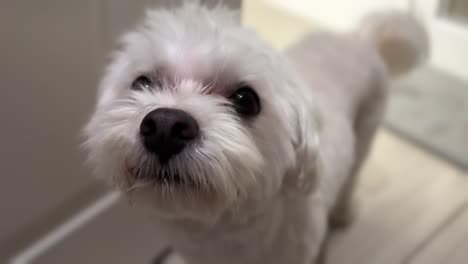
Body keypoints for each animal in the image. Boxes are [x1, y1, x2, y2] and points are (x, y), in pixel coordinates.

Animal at [83, 2, 428, 264]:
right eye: (141, 83)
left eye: (246, 100)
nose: (165, 126)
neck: (221, 229)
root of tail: (360, 39)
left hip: (367, 130)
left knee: (353, 175)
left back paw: (342, 213)